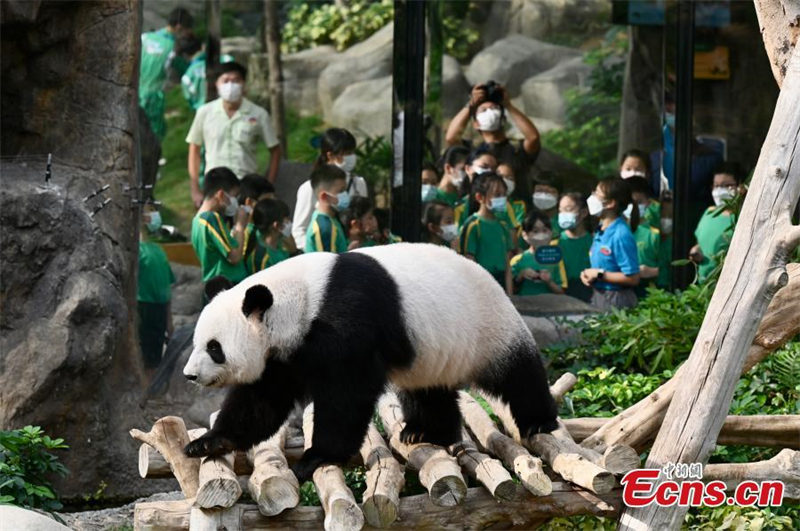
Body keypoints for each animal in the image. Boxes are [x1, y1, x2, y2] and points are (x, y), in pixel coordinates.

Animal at [183, 243, 556, 480]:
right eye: (197, 342)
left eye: (215, 348)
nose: (189, 375)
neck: (300, 298)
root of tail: (494, 279)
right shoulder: (285, 352)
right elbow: (261, 400)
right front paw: (208, 441)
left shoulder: (346, 322)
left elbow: (346, 395)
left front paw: (317, 456)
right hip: (431, 351)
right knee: (428, 387)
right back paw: (425, 431)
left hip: (486, 326)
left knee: (516, 374)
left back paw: (538, 422)